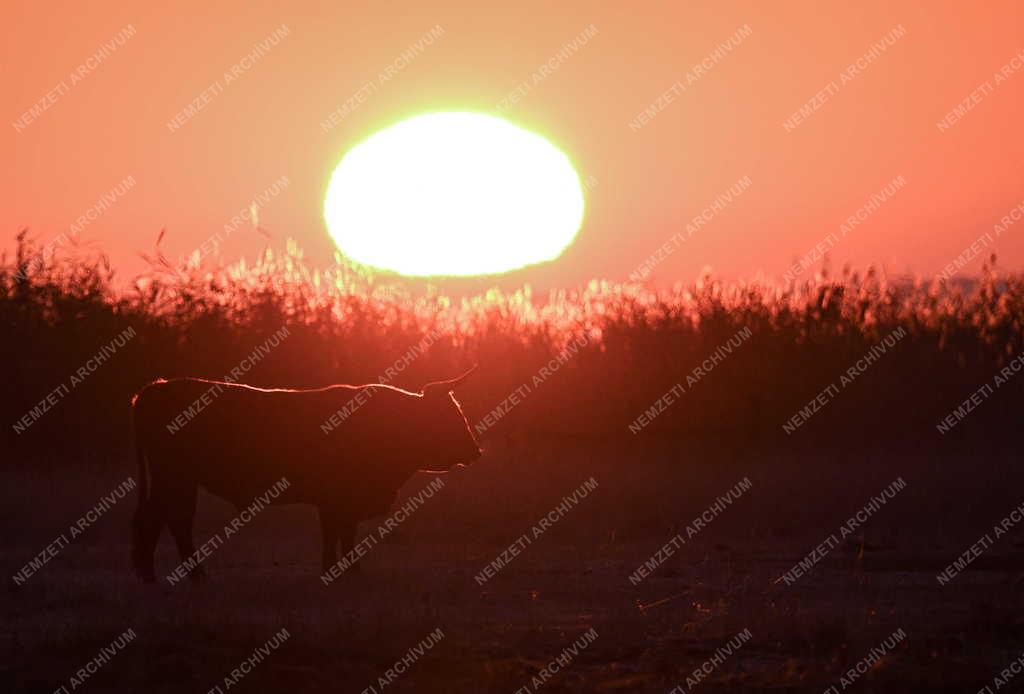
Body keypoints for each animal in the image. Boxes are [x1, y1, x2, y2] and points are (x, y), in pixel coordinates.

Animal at [129, 366, 479, 585]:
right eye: (450, 415)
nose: (475, 450)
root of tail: (157, 387)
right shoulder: (338, 498)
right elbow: (339, 533)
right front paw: (342, 571)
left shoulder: (339, 502)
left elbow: (340, 534)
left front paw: (342, 570)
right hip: (175, 478)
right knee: (169, 519)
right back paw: (184, 575)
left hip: (176, 480)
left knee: (161, 518)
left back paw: (155, 574)